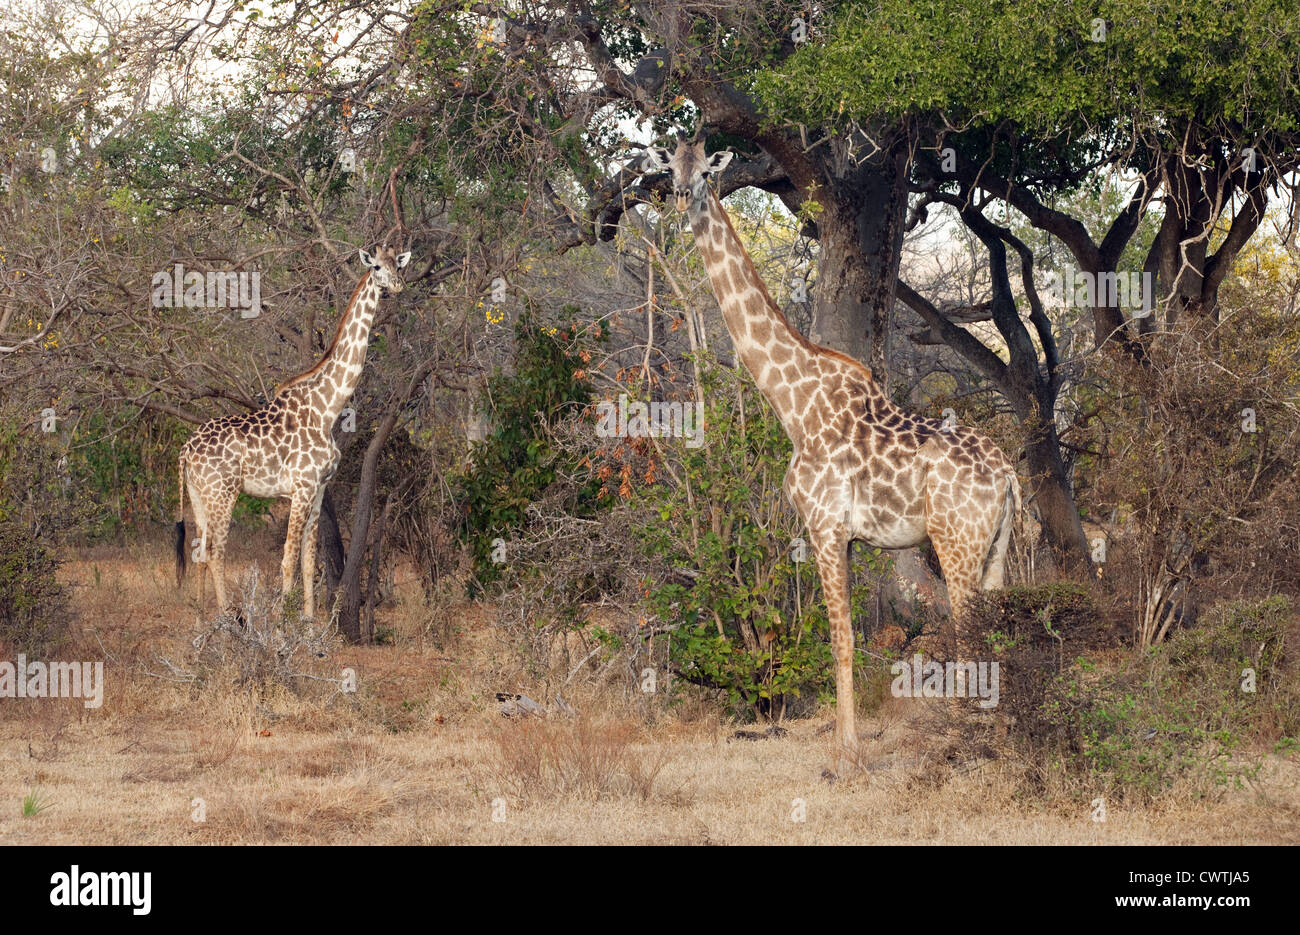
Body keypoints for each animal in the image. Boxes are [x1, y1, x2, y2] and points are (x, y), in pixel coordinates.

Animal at [172, 247, 405, 621]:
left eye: (398, 264)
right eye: (377, 268)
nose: (397, 284)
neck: (327, 408)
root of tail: (185, 450)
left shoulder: (319, 489)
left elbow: (309, 561)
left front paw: (309, 624)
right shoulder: (301, 487)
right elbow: (288, 560)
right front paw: (283, 623)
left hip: (198, 495)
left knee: (199, 553)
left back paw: (200, 620)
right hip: (223, 494)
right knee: (216, 553)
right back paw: (226, 620)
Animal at [644, 137, 1019, 769]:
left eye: (708, 173)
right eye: (670, 167)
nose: (682, 197)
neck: (793, 405)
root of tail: (1011, 474)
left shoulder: (824, 527)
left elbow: (841, 642)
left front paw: (846, 755)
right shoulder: (843, 536)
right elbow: (846, 640)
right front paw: (848, 746)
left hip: (957, 541)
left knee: (971, 633)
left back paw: (968, 744)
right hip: (995, 548)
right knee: (994, 632)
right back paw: (991, 737)